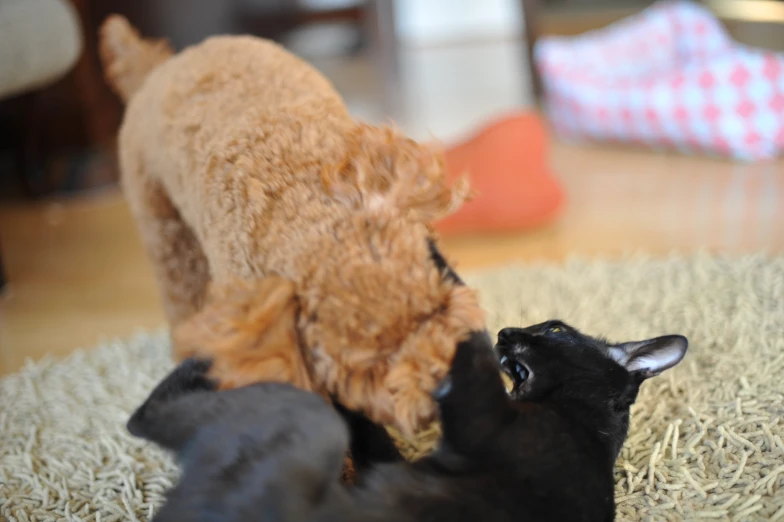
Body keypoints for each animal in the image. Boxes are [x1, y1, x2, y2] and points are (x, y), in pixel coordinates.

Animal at [129, 318, 688, 516]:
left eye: (554, 329)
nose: (509, 331)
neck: (583, 423)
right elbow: (369, 428)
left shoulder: (480, 419)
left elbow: (468, 345)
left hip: (303, 430)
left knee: (146, 417)